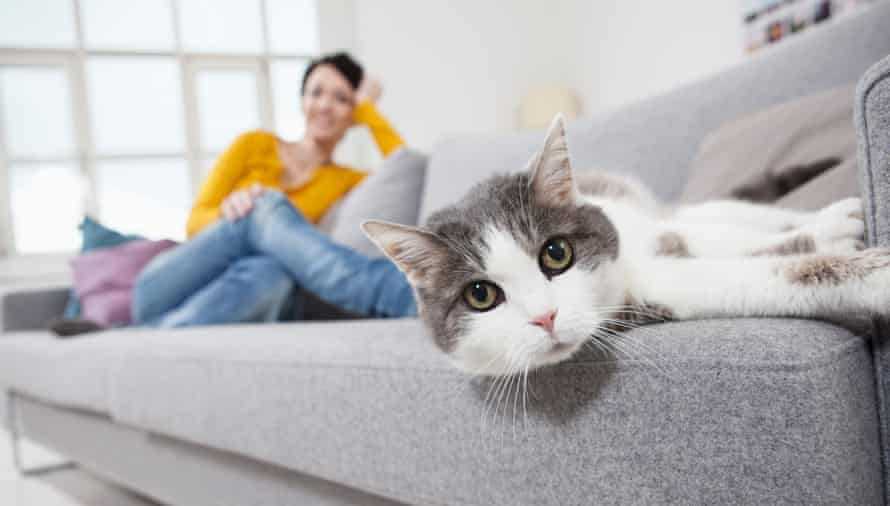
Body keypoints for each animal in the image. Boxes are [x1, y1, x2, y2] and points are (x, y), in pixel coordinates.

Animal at [362, 114, 888, 376]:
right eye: (480, 295)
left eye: (557, 253)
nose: (545, 317)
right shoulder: (660, 289)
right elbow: (745, 275)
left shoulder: (649, 234)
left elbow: (730, 241)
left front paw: (843, 245)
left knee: (726, 218)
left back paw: (828, 218)